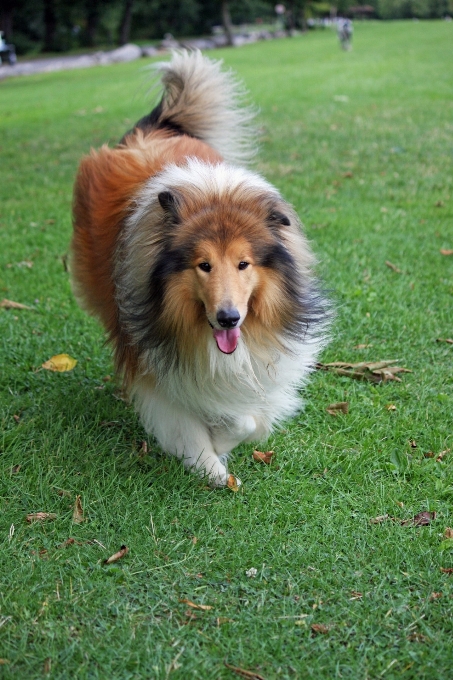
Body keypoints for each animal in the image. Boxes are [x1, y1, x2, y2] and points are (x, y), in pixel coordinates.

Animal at [70, 50, 326, 486]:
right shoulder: (153, 364)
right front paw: (210, 463)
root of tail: (152, 130)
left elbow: (250, 419)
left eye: (243, 264)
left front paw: (222, 440)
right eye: (203, 265)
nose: (228, 318)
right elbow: (185, 421)